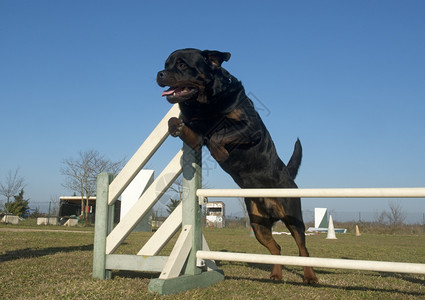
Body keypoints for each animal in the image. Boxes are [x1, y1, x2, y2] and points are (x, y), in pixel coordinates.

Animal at [157, 48, 316, 284]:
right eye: (166, 64)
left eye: (182, 65)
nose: (159, 74)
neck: (205, 102)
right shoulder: (196, 137)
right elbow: (177, 123)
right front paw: (175, 126)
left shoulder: (249, 127)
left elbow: (219, 136)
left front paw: (220, 153)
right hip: (258, 225)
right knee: (276, 248)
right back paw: (276, 274)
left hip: (292, 215)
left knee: (303, 250)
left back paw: (310, 276)